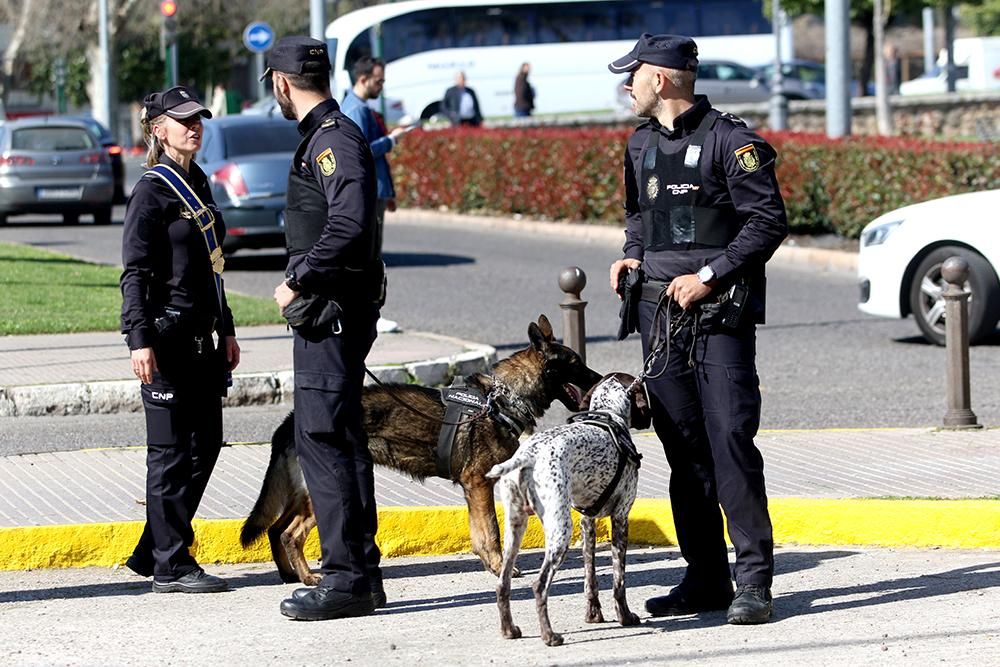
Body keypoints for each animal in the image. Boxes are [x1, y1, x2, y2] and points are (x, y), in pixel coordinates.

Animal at [240, 316, 600, 580]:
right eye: (575, 363)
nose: (599, 378)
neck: (500, 398)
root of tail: (291, 419)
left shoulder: (473, 490)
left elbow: (479, 534)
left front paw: (490, 565)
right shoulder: (479, 485)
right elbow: (491, 533)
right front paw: (500, 568)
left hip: (301, 493)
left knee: (275, 528)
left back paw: (289, 575)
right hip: (318, 495)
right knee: (290, 534)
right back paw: (308, 579)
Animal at [488, 374, 652, 644]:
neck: (608, 415)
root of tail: (529, 454)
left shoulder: (587, 522)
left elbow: (590, 578)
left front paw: (593, 615)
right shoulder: (621, 517)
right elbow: (619, 581)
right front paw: (625, 617)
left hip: (515, 529)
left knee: (503, 583)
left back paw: (509, 630)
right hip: (560, 531)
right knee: (539, 585)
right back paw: (549, 636)